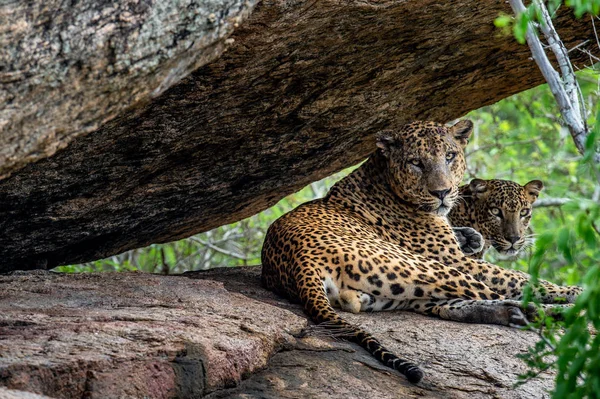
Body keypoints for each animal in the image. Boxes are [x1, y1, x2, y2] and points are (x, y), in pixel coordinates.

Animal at [260, 119, 580, 384]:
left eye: (449, 156)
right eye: (416, 162)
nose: (442, 192)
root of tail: (299, 263)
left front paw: (470, 236)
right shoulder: (458, 261)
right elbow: (522, 279)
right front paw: (573, 291)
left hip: (394, 293)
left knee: (452, 305)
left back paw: (511, 314)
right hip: (425, 267)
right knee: (496, 295)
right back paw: (556, 311)